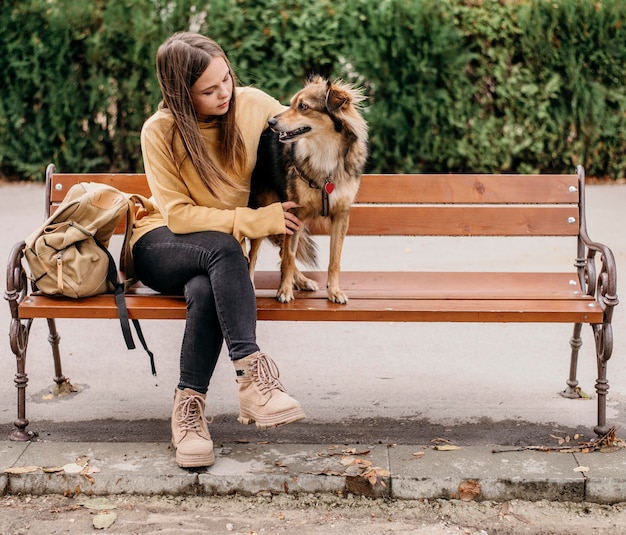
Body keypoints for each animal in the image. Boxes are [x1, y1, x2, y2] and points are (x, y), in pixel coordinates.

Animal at [247, 75, 368, 304]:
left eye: (303, 106)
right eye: (291, 103)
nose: (271, 122)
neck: (325, 151)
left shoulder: (340, 215)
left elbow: (334, 259)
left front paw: (334, 291)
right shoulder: (295, 213)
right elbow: (289, 257)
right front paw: (284, 291)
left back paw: (302, 281)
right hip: (265, 210)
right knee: (254, 254)